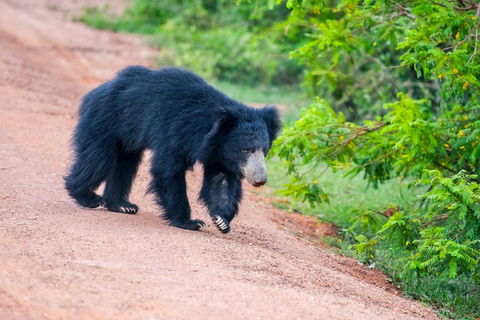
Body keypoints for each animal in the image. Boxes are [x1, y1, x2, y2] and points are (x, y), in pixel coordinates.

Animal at [64, 66, 282, 234]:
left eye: (264, 150)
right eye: (247, 150)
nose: (260, 180)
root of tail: (97, 90)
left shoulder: (220, 152)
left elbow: (221, 181)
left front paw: (221, 220)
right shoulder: (174, 131)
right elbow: (167, 171)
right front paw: (190, 222)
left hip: (126, 136)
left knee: (125, 166)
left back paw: (122, 205)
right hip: (106, 120)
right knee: (99, 159)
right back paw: (88, 197)